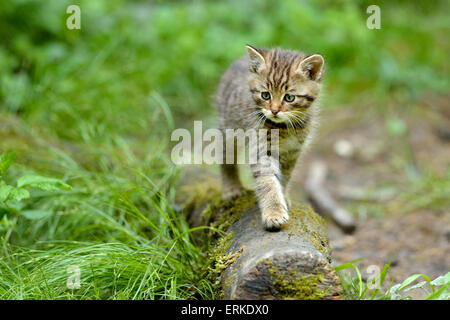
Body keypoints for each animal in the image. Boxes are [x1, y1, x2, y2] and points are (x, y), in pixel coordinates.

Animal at [217, 44, 326, 230]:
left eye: (289, 97)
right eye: (265, 95)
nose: (274, 110)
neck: (285, 128)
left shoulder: (293, 151)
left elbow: (285, 177)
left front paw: (284, 197)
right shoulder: (261, 148)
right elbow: (268, 181)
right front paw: (274, 212)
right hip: (230, 129)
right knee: (226, 157)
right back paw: (231, 188)